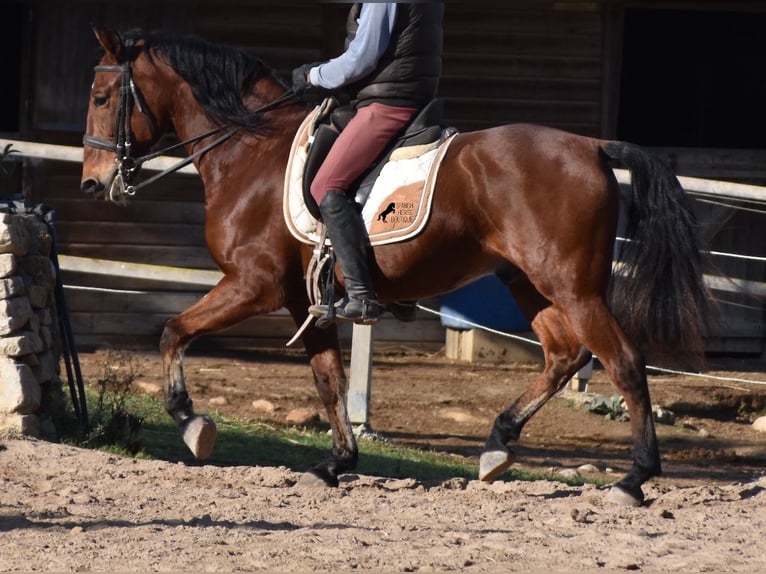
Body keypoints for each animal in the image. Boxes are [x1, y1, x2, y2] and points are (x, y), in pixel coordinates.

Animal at [81, 29, 712, 510]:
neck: (251, 151)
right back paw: (497, 446)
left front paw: (192, 424)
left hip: (571, 285)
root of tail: (592, 145)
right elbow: (329, 381)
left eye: (102, 95)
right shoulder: (304, 300)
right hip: (528, 282)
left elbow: (173, 331)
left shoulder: (251, 286)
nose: (91, 183)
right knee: (564, 356)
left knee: (624, 362)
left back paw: (633, 480)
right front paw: (336, 464)